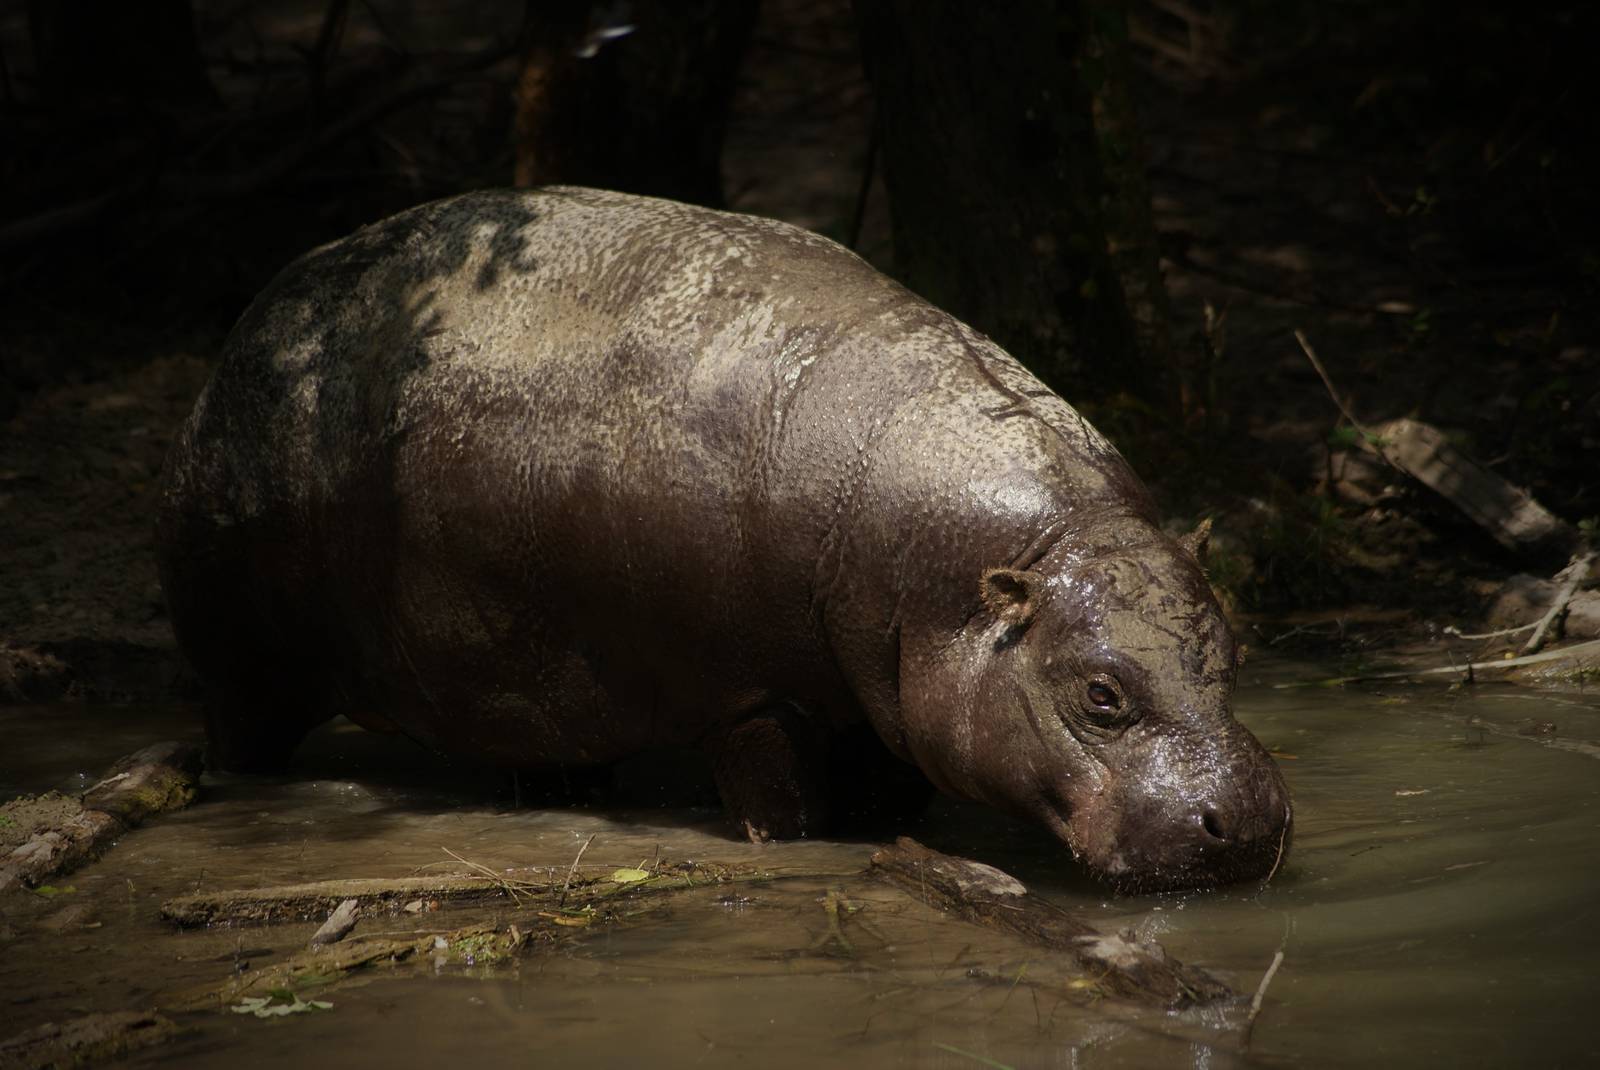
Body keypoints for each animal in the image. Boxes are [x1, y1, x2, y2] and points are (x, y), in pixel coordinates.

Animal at [157, 187, 1291, 892]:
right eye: (1099, 694)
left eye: (1232, 655)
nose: (1247, 824)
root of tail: (254, 323)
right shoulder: (750, 697)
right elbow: (783, 813)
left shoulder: (889, 704)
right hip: (242, 666)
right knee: (243, 733)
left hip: (517, 690)